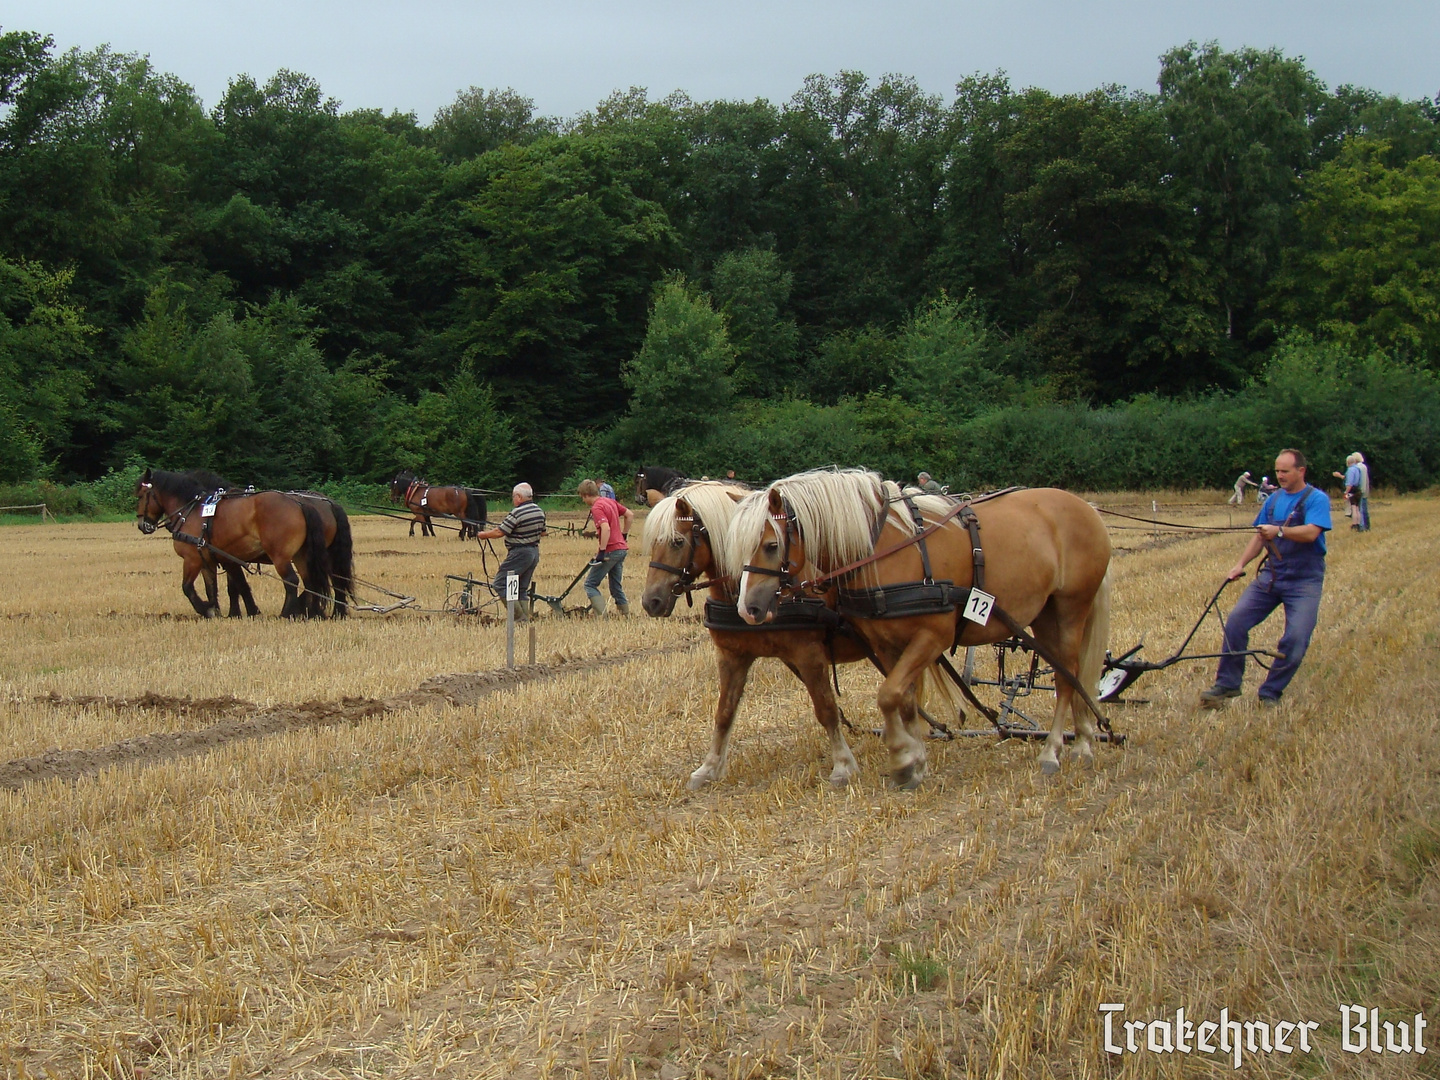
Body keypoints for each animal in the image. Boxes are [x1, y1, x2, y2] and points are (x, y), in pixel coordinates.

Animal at [136, 469, 332, 622]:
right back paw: (311, 613)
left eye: (141, 495)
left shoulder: (192, 559)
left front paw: (206, 609)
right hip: (301, 555)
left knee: (291, 581)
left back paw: (286, 614)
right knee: (310, 582)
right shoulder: (210, 560)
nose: (142, 525)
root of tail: (299, 504)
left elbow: (187, 587)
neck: (191, 512)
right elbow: (214, 588)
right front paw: (219, 611)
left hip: (280, 556)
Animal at [642, 480, 956, 789]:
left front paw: (843, 766)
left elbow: (826, 709)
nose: (650, 602)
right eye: (653, 543)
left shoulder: (809, 655)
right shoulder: (733, 656)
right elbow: (724, 712)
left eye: (677, 541)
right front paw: (708, 768)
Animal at [737, 472, 1105, 789]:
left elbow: (888, 695)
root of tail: (1086, 508)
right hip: (1045, 614)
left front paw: (902, 758)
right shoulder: (886, 643)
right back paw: (1085, 738)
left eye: (771, 545)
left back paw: (1056, 751)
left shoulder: (933, 636)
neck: (884, 548)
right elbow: (905, 699)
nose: (747, 608)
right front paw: (917, 761)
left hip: (1072, 607)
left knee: (1067, 675)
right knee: (1067, 672)